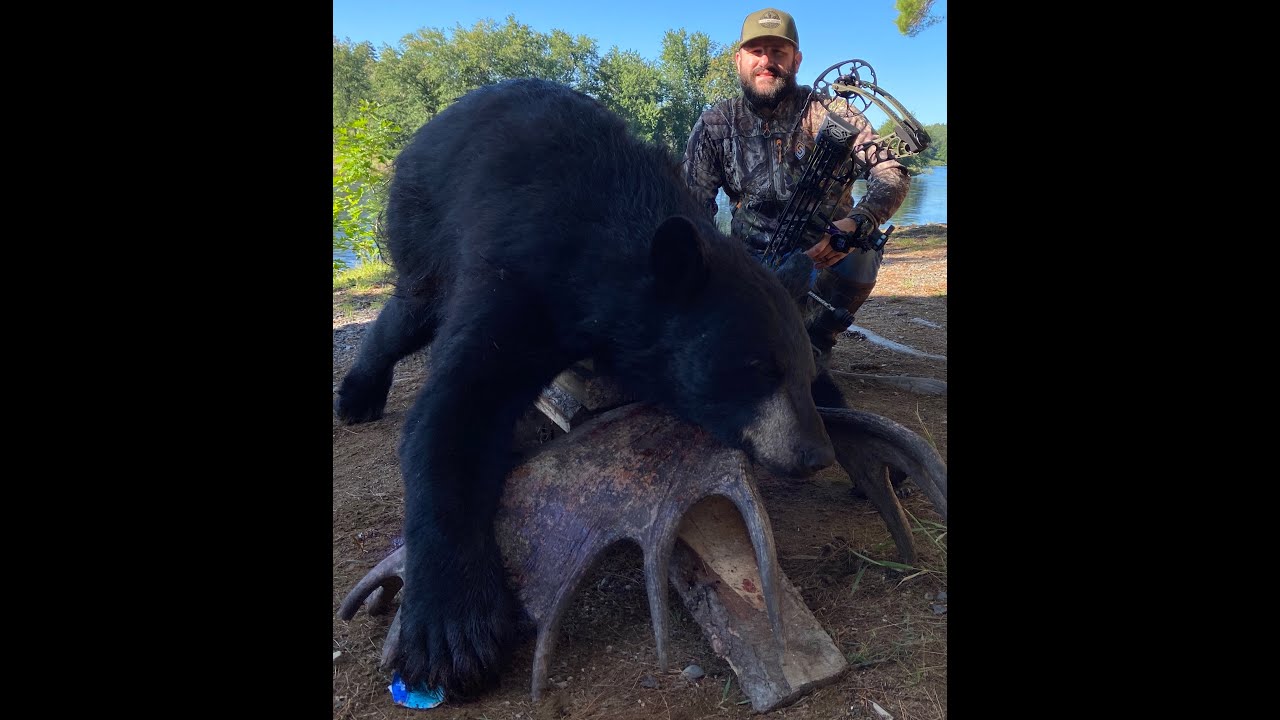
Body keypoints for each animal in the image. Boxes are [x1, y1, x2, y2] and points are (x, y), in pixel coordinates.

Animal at [334, 78, 836, 698]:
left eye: (805, 371)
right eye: (756, 366)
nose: (816, 454)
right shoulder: (517, 270)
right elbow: (451, 413)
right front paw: (450, 630)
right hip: (421, 216)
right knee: (410, 309)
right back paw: (358, 395)